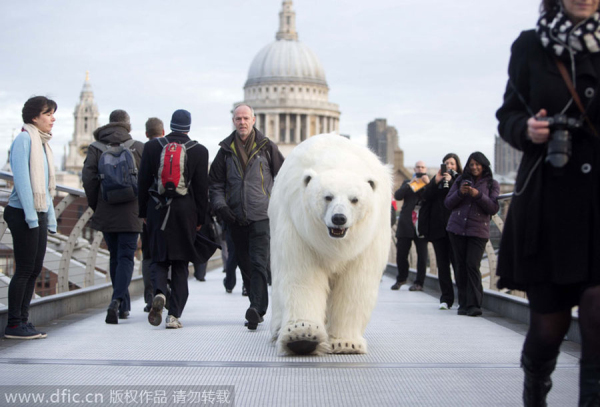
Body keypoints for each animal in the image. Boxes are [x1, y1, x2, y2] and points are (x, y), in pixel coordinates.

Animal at [268, 135, 392, 356]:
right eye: (328, 196)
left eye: (354, 199)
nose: (339, 218)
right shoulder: (299, 229)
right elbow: (303, 276)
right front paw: (302, 337)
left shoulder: (368, 239)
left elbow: (356, 283)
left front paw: (346, 343)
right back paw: (277, 332)